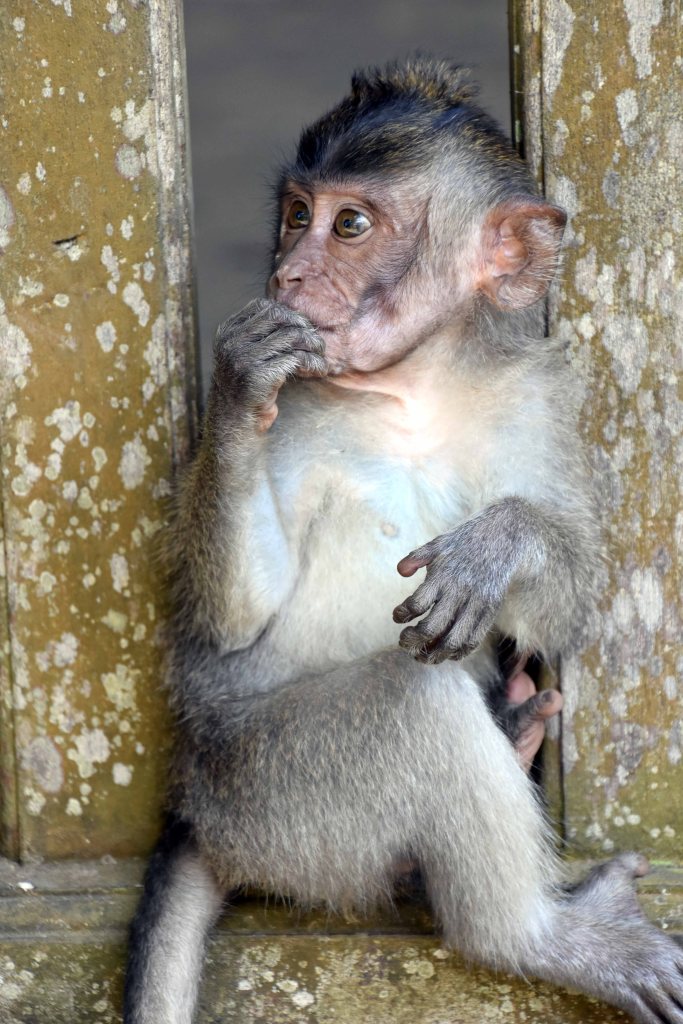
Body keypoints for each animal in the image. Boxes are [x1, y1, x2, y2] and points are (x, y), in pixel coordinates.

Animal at [124, 58, 683, 1024]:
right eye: (295, 214)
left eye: (348, 225)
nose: (291, 274)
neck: (411, 387)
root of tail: (196, 813)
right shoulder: (298, 415)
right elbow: (231, 617)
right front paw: (240, 379)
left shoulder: (534, 397)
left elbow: (569, 603)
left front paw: (500, 545)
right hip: (272, 801)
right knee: (408, 706)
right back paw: (534, 936)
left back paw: (515, 737)